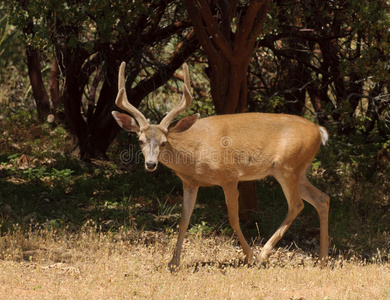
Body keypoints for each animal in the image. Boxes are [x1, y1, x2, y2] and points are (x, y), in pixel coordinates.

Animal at [112, 61, 330, 270]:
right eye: (140, 140)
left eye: (164, 142)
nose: (150, 164)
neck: (194, 152)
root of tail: (319, 131)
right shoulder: (190, 182)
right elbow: (183, 220)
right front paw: (173, 263)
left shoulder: (229, 176)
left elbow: (233, 218)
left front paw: (249, 256)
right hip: (298, 170)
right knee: (322, 199)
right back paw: (323, 259)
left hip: (287, 168)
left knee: (296, 204)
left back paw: (262, 255)